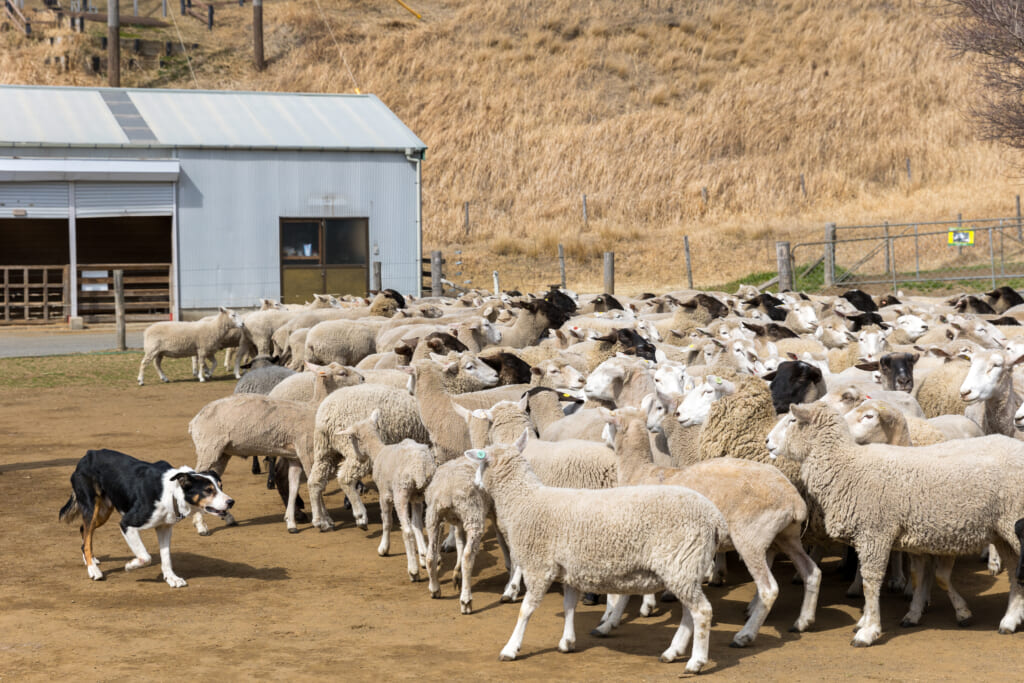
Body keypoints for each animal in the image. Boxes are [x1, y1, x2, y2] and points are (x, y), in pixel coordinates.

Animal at [60, 448, 235, 589]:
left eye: (221, 487)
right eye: (208, 490)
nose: (231, 502)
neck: (171, 493)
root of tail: (88, 454)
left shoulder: (164, 528)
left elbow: (166, 557)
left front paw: (171, 578)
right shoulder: (127, 523)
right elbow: (146, 557)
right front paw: (131, 565)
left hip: (103, 511)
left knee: (84, 532)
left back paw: (91, 560)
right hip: (92, 507)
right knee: (87, 534)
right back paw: (93, 570)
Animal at [339, 411, 436, 581]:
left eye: (351, 438)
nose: (359, 459)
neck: (378, 451)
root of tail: (421, 468)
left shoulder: (384, 494)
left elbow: (387, 522)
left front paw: (384, 548)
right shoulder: (416, 498)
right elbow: (417, 524)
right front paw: (423, 556)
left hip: (400, 493)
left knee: (407, 531)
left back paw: (413, 571)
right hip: (426, 492)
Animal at [468, 436, 729, 671]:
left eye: (481, 463)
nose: (475, 483)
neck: (524, 499)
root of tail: (715, 518)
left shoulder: (538, 566)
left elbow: (526, 610)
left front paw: (510, 648)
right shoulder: (569, 569)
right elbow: (569, 606)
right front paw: (567, 642)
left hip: (681, 563)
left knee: (702, 612)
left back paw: (696, 662)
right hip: (686, 568)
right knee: (688, 613)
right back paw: (672, 652)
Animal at [602, 409, 819, 651]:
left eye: (608, 422)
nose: (602, 439)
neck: (638, 473)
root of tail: (794, 499)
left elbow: (625, 592)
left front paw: (610, 622)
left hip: (750, 538)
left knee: (769, 589)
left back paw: (745, 635)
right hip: (787, 536)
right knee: (812, 572)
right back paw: (803, 621)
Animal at [765, 401, 1024, 647]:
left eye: (792, 420)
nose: (767, 442)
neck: (846, 466)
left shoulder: (874, 533)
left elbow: (871, 582)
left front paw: (868, 631)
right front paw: (878, 621)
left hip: (1013, 523)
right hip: (1002, 532)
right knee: (1015, 572)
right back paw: (1010, 620)